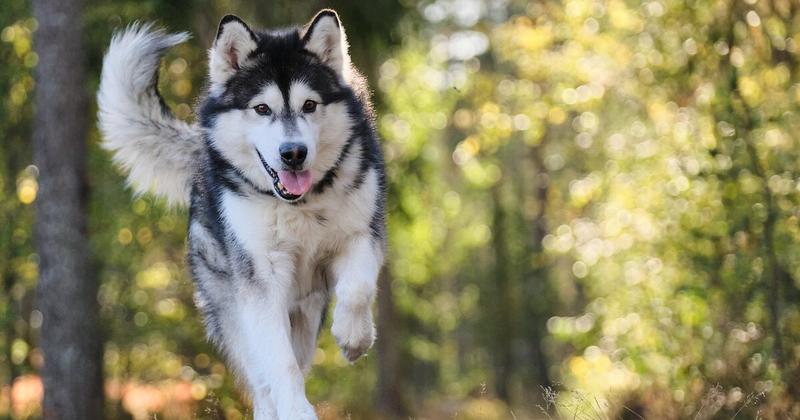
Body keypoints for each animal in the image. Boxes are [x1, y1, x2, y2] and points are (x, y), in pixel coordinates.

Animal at [97, 10, 388, 420]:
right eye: (262, 108)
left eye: (310, 105)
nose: (293, 153)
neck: (299, 205)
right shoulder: (261, 279)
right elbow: (279, 363)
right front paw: (297, 410)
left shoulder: (362, 233)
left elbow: (357, 288)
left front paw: (353, 338)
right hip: (235, 310)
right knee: (263, 381)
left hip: (305, 312)